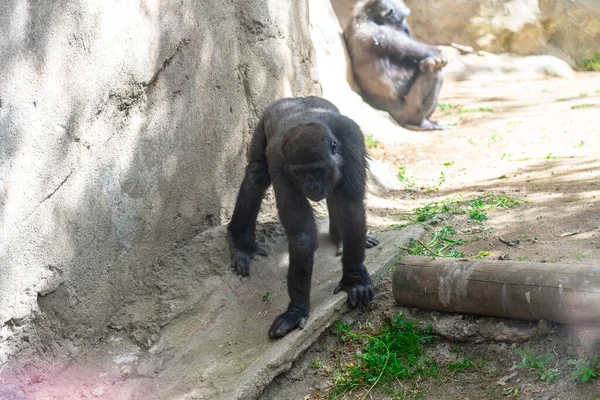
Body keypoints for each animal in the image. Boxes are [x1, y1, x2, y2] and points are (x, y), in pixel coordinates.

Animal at [227, 96, 378, 338]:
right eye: (299, 173)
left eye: (316, 170)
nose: (311, 186)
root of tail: (296, 98)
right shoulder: (280, 163)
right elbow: (302, 233)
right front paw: (296, 310)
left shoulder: (351, 139)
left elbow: (351, 209)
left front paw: (354, 278)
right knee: (256, 174)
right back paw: (240, 241)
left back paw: (341, 238)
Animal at [344, 0, 448, 131]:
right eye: (403, 18)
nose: (407, 28)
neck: (369, 15)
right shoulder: (384, 33)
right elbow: (433, 54)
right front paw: (430, 61)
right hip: (404, 114)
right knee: (434, 73)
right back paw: (419, 123)